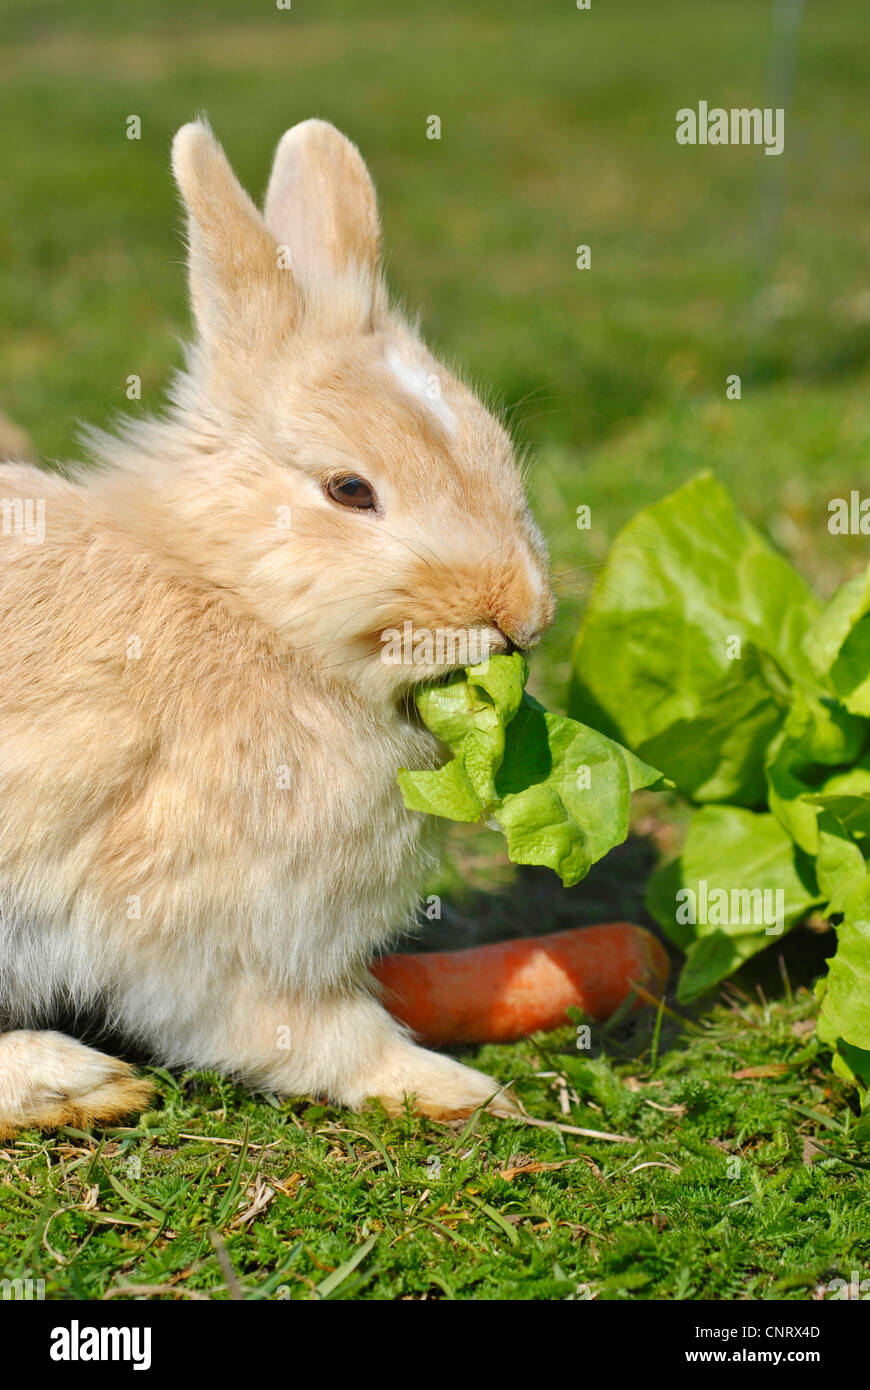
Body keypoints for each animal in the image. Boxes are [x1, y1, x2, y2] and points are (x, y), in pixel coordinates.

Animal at [0, 118, 555, 1139]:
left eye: (498, 450)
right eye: (350, 490)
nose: (520, 616)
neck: (236, 599)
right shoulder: (222, 931)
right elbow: (314, 1033)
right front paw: (460, 1090)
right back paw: (78, 1082)